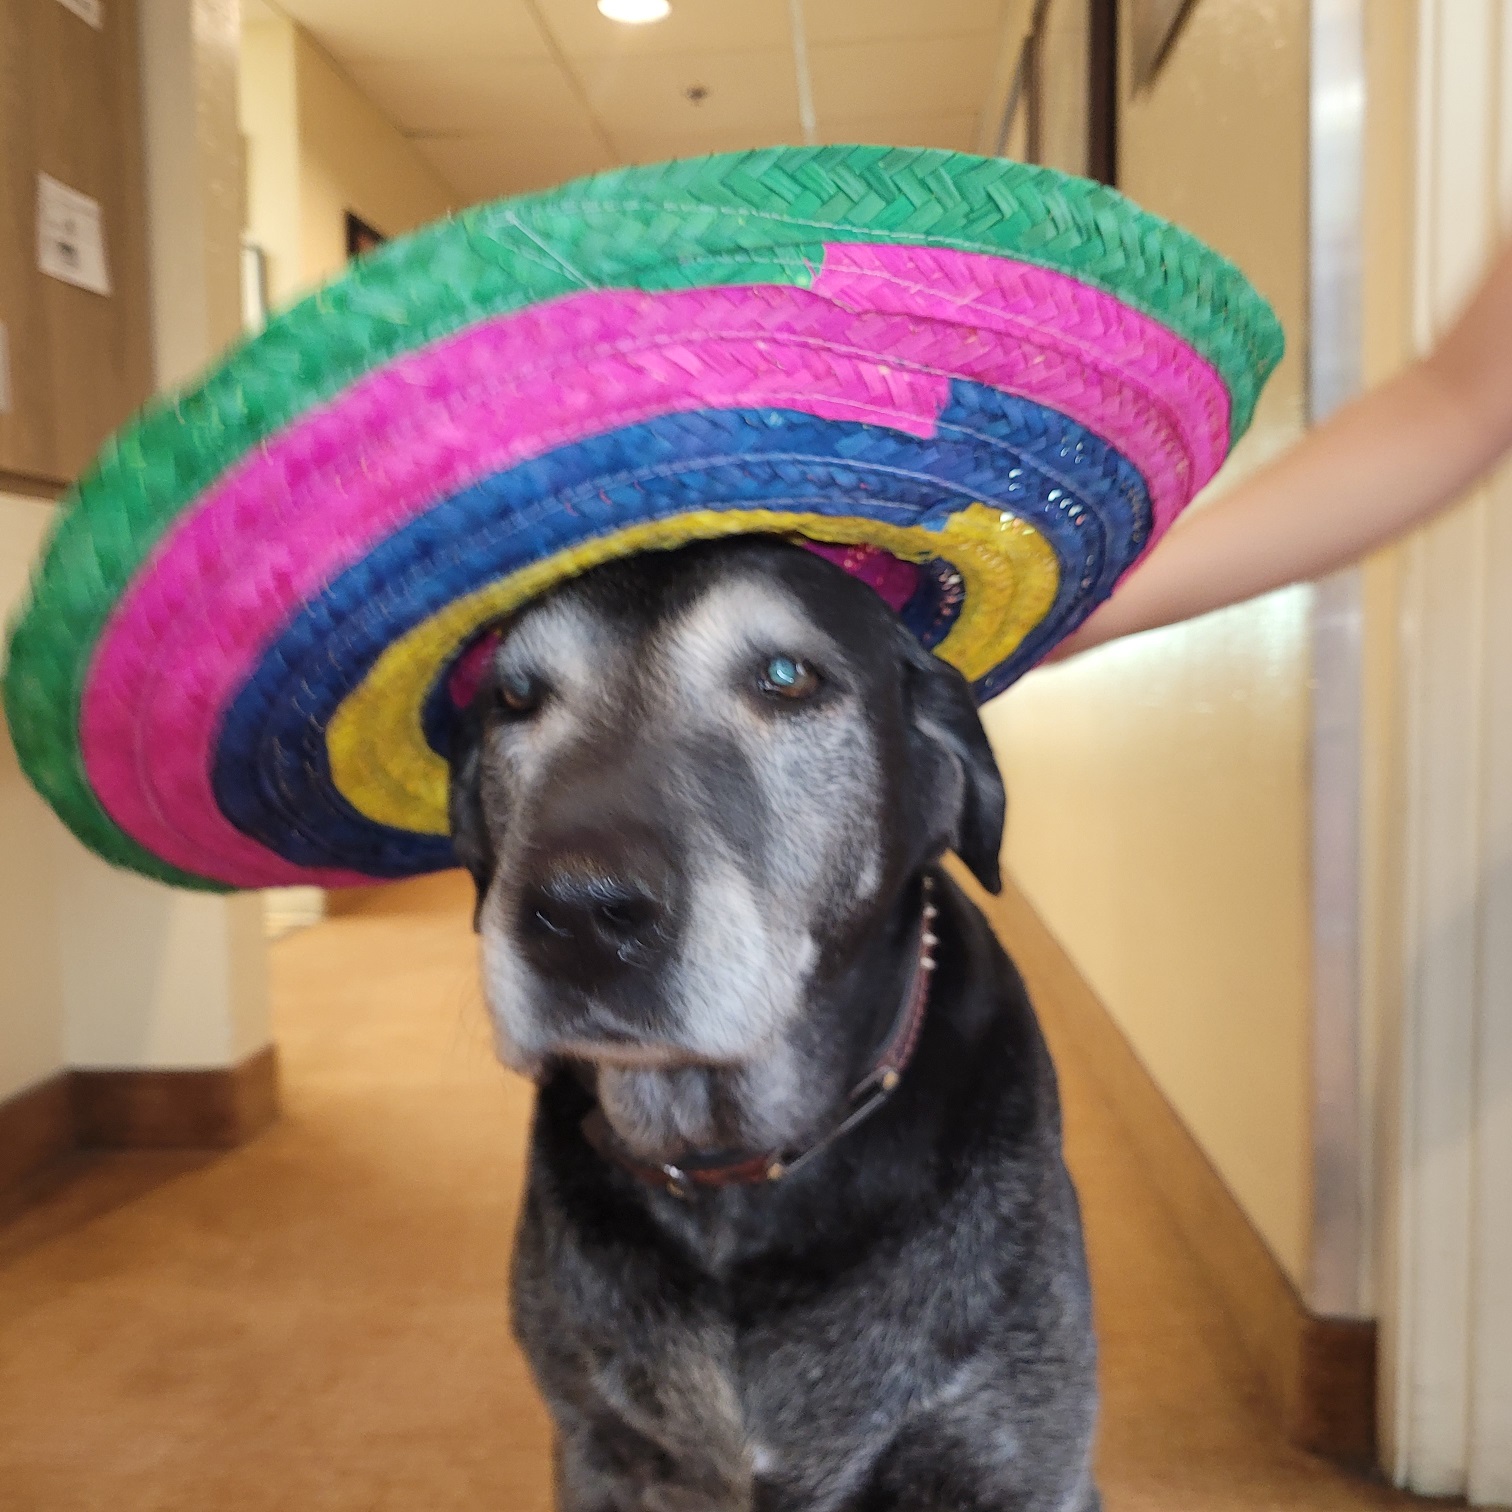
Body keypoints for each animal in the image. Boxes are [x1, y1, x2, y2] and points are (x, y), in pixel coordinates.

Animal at [447, 537, 1100, 1511]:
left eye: (787, 678)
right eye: (516, 700)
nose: (577, 916)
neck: (737, 1170)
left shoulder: (1017, 1459)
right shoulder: (595, 1446)